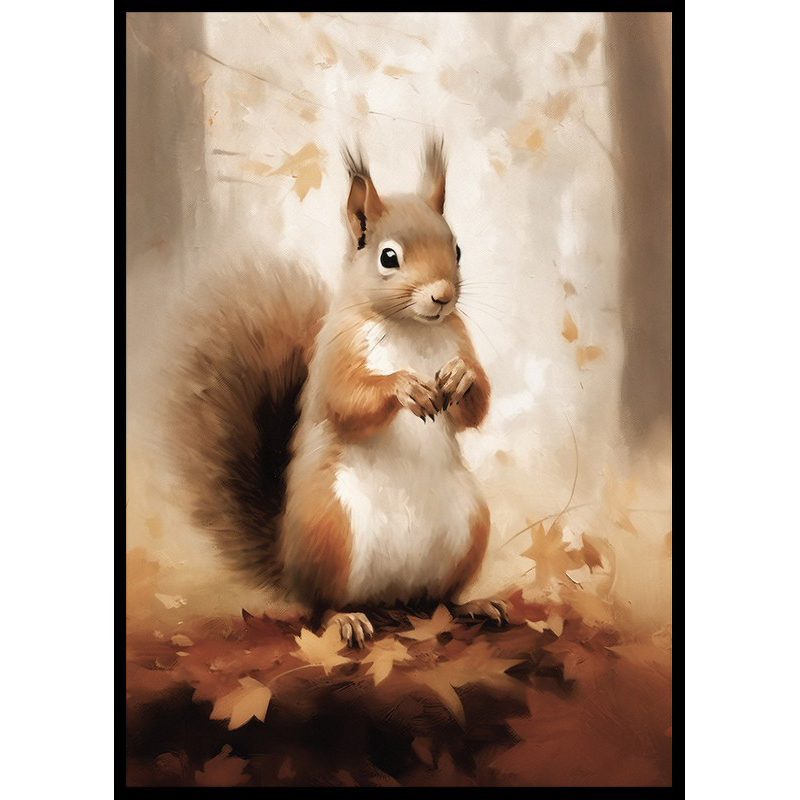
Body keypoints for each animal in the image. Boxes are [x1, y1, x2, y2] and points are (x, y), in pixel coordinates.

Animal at [168, 139, 507, 647]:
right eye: (388, 257)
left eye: (458, 249)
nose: (443, 296)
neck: (411, 327)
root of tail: (390, 597)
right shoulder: (336, 355)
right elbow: (348, 402)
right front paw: (404, 386)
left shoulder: (458, 338)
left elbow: (476, 408)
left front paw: (460, 378)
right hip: (330, 529)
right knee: (319, 607)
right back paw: (344, 619)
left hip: (470, 525)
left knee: (440, 598)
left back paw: (472, 605)